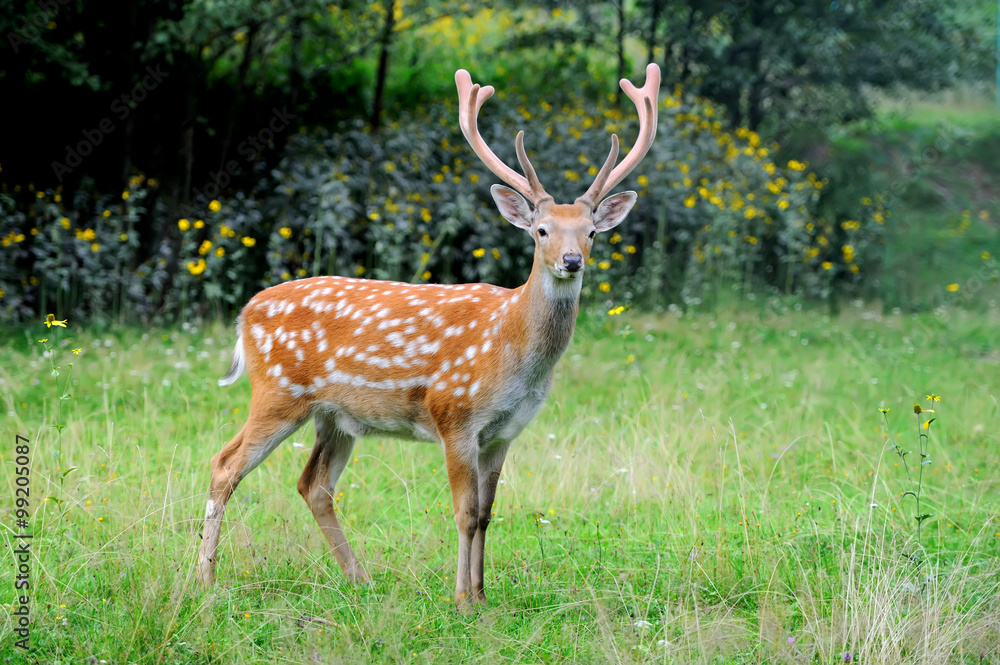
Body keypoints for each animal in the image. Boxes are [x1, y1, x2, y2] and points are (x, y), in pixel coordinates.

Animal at [196, 62, 660, 608]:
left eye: (591, 232)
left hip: (334, 416)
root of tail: (245, 313)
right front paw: (461, 600)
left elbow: (487, 513)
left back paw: (360, 578)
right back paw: (204, 580)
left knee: (314, 485)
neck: (512, 349)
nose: (571, 260)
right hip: (277, 392)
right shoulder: (454, 414)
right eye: (541, 230)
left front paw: (482, 595)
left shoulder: (504, 431)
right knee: (224, 465)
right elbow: (464, 512)